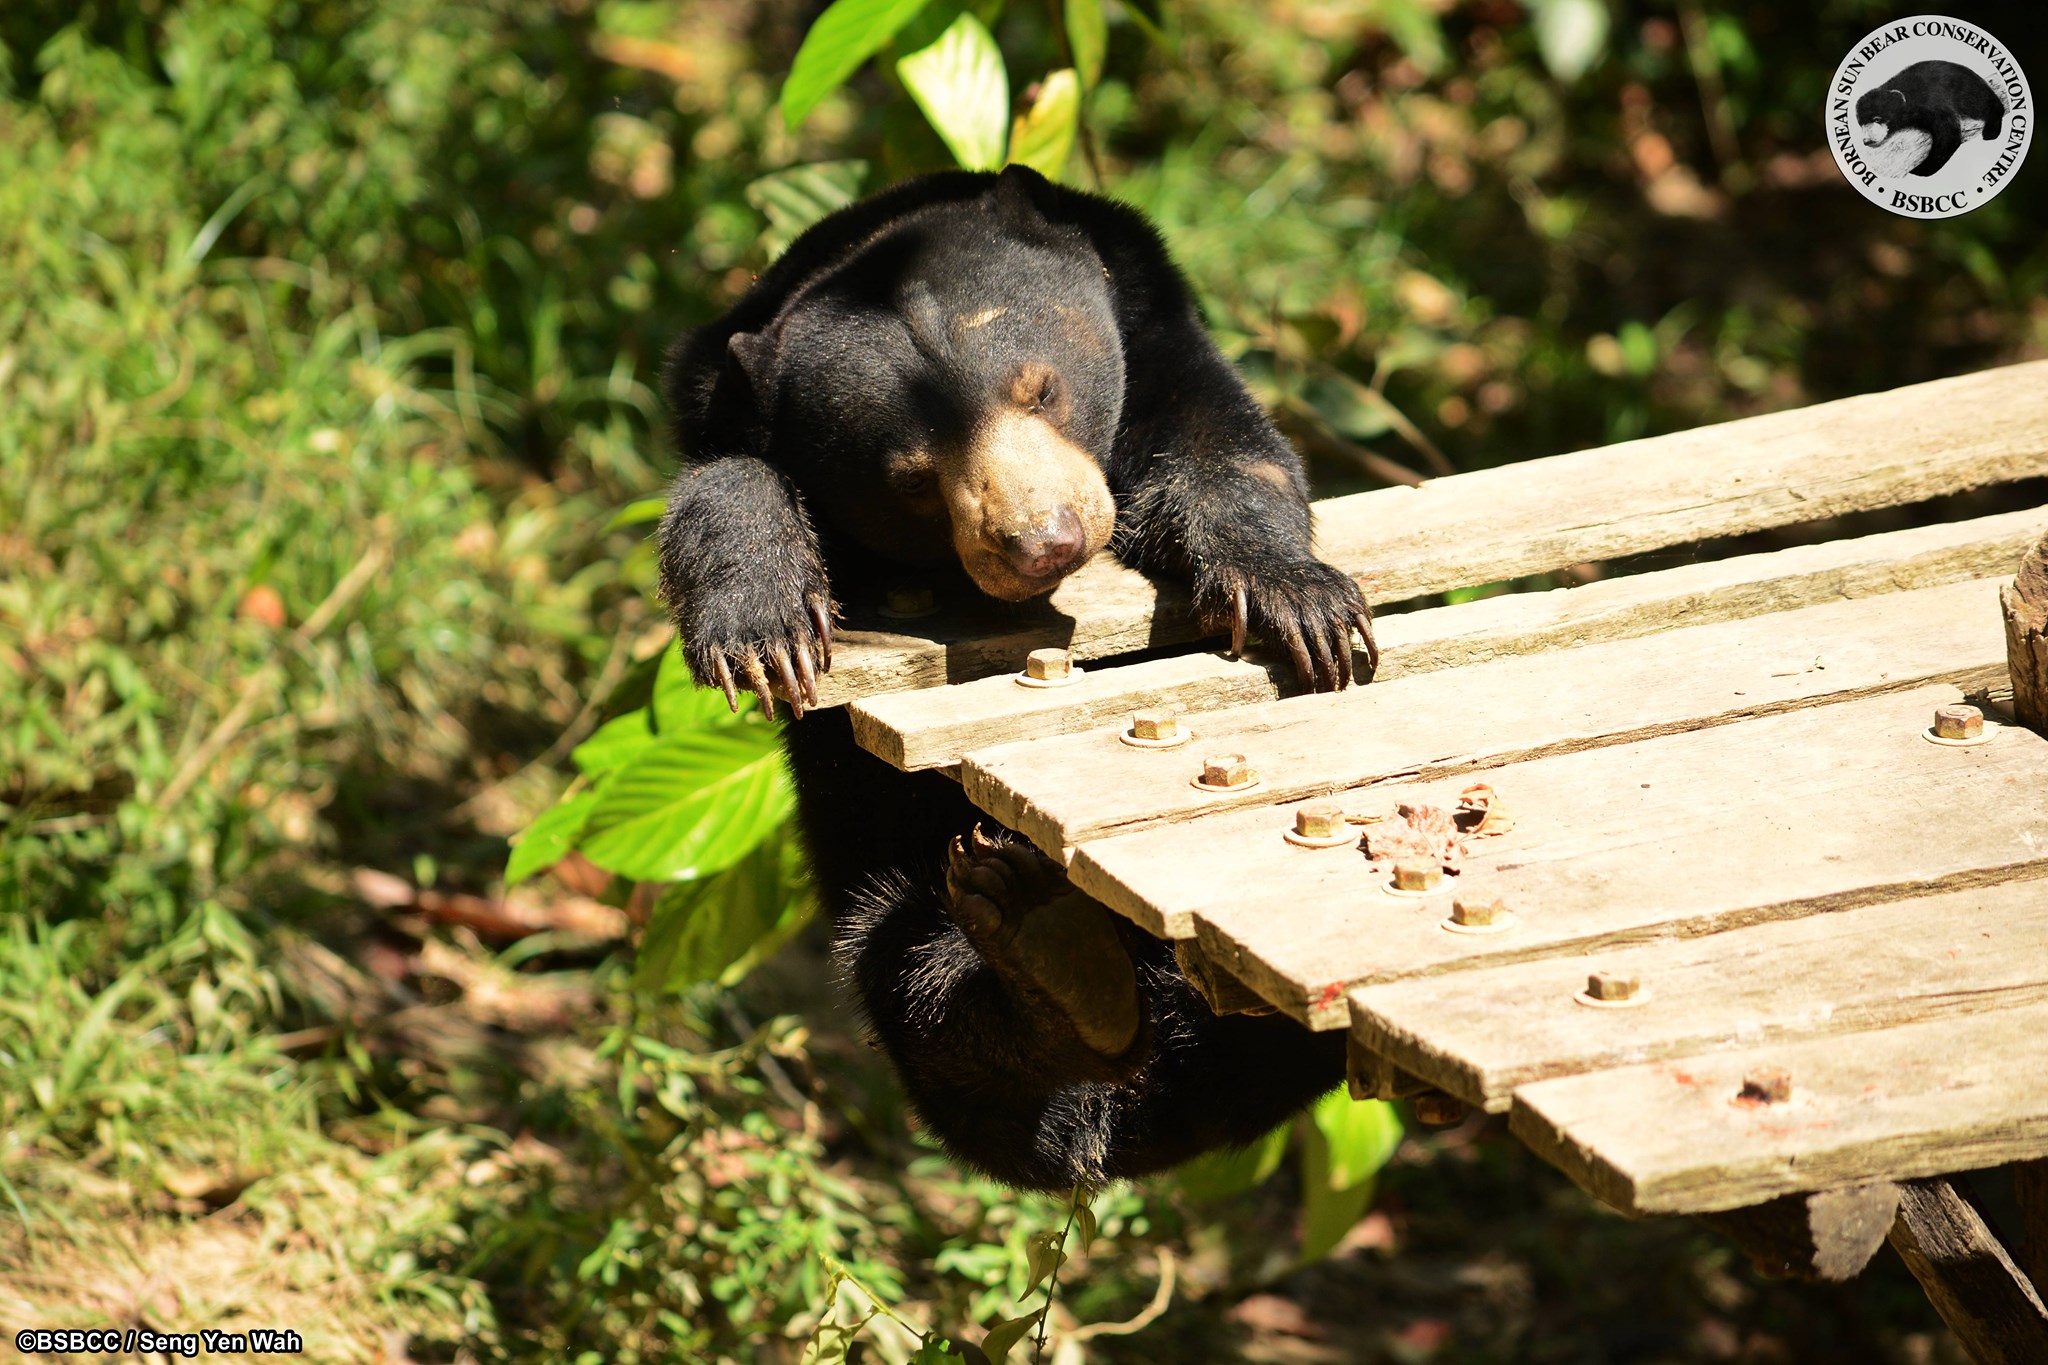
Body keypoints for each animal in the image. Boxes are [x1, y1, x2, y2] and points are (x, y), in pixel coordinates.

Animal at [663, 160, 1376, 1186]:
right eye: (912, 477)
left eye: (1041, 391)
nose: (1043, 541)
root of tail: (1115, 1129)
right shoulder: (712, 408)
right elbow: (722, 486)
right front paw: (762, 629)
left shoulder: (1161, 335)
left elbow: (1228, 453)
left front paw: (1300, 607)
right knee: (917, 980)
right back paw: (1053, 959)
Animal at [1859, 59, 1998, 179]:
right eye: (1861, 124)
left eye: (1877, 119)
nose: (1866, 140)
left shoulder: (1930, 102)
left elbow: (1949, 134)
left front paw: (1920, 170)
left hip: (1967, 92)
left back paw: (1991, 130)